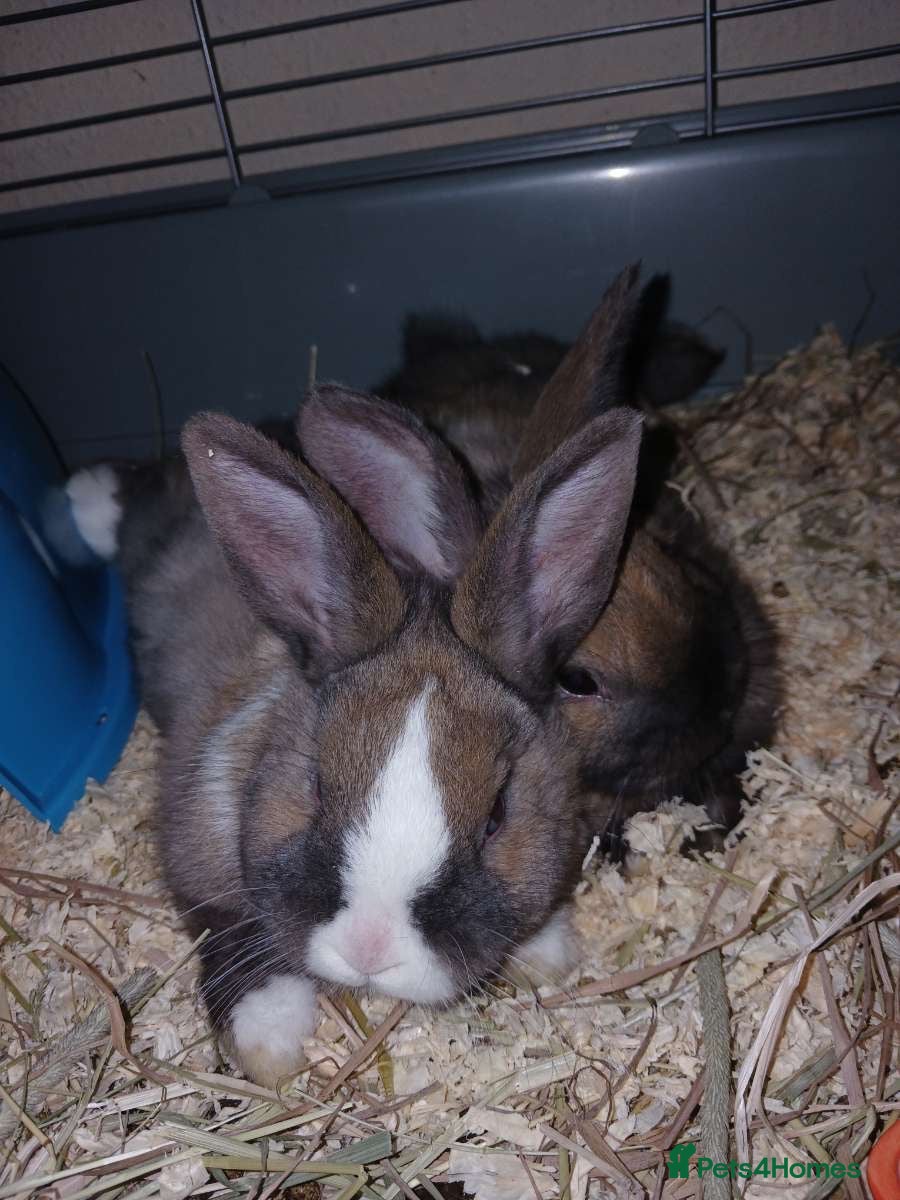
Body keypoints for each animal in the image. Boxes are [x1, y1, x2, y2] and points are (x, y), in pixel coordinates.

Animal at [60, 379, 644, 1085]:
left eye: (497, 818)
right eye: (314, 787)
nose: (370, 950)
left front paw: (549, 950)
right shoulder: (194, 839)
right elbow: (226, 928)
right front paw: (272, 1042)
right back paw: (85, 495)